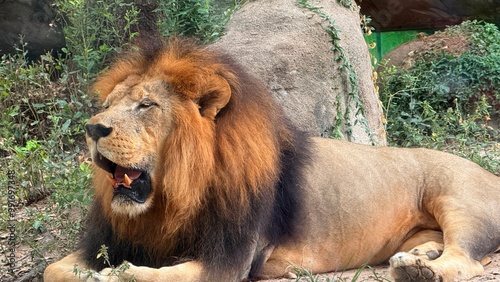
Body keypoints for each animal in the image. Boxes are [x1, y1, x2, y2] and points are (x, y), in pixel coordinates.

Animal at [44, 37, 500, 282]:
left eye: (145, 105)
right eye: (107, 105)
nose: (93, 128)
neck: (173, 199)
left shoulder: (230, 260)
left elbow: (155, 275)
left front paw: (118, 273)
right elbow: (53, 269)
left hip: (460, 202)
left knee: (468, 260)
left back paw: (421, 270)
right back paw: (419, 257)